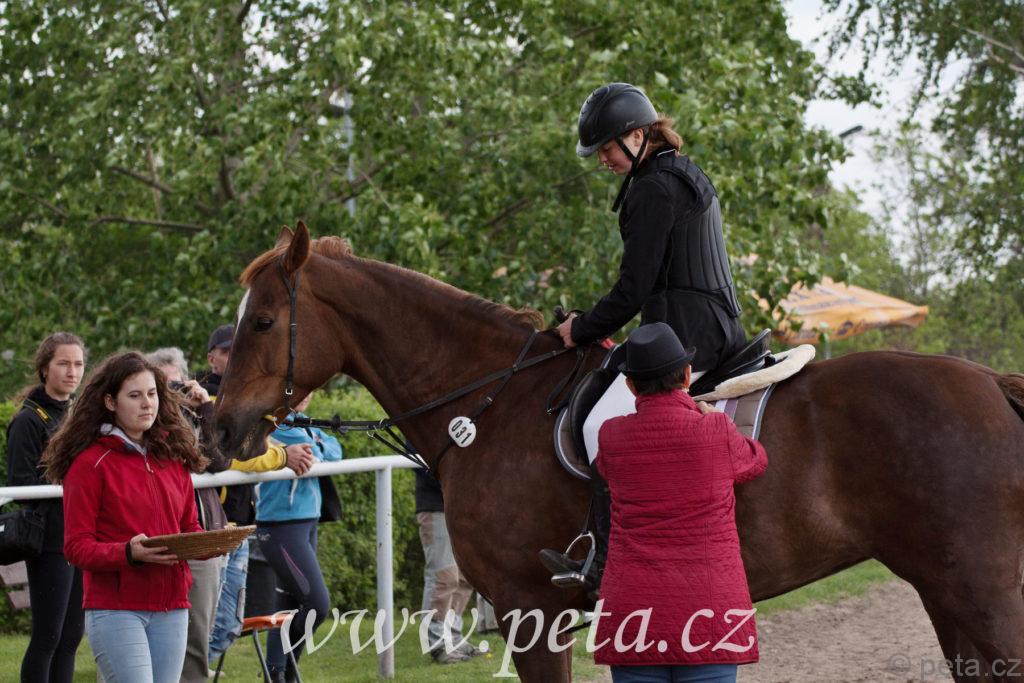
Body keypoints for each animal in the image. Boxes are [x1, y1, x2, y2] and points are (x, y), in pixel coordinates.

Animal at [214, 222, 1024, 682]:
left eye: (262, 322)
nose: (222, 431)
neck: (490, 399)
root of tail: (991, 380)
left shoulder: (527, 608)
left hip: (977, 592)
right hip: (946, 591)